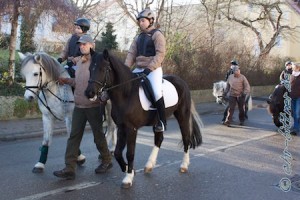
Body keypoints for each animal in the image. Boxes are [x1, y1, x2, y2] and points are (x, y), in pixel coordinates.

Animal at [86, 49, 204, 188]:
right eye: (89, 68)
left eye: (104, 69)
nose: (89, 93)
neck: (126, 94)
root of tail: (182, 82)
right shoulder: (122, 127)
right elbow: (117, 152)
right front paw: (128, 169)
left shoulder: (132, 128)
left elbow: (130, 153)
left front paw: (128, 178)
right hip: (158, 122)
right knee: (159, 140)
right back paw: (149, 165)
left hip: (182, 116)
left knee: (186, 138)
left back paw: (184, 165)